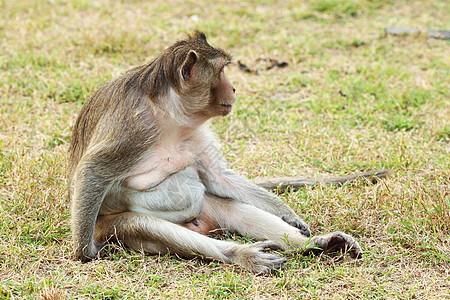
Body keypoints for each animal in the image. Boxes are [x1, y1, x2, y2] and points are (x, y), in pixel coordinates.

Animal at [67, 31, 370, 274]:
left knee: (234, 208)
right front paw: (85, 252)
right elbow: (93, 171)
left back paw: (315, 244)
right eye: (221, 71)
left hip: (207, 206)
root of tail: (202, 224)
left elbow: (218, 177)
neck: (169, 114)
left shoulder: (194, 132)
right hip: (108, 226)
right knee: (142, 224)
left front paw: (290, 216)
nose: (234, 87)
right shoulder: (133, 128)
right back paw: (240, 254)